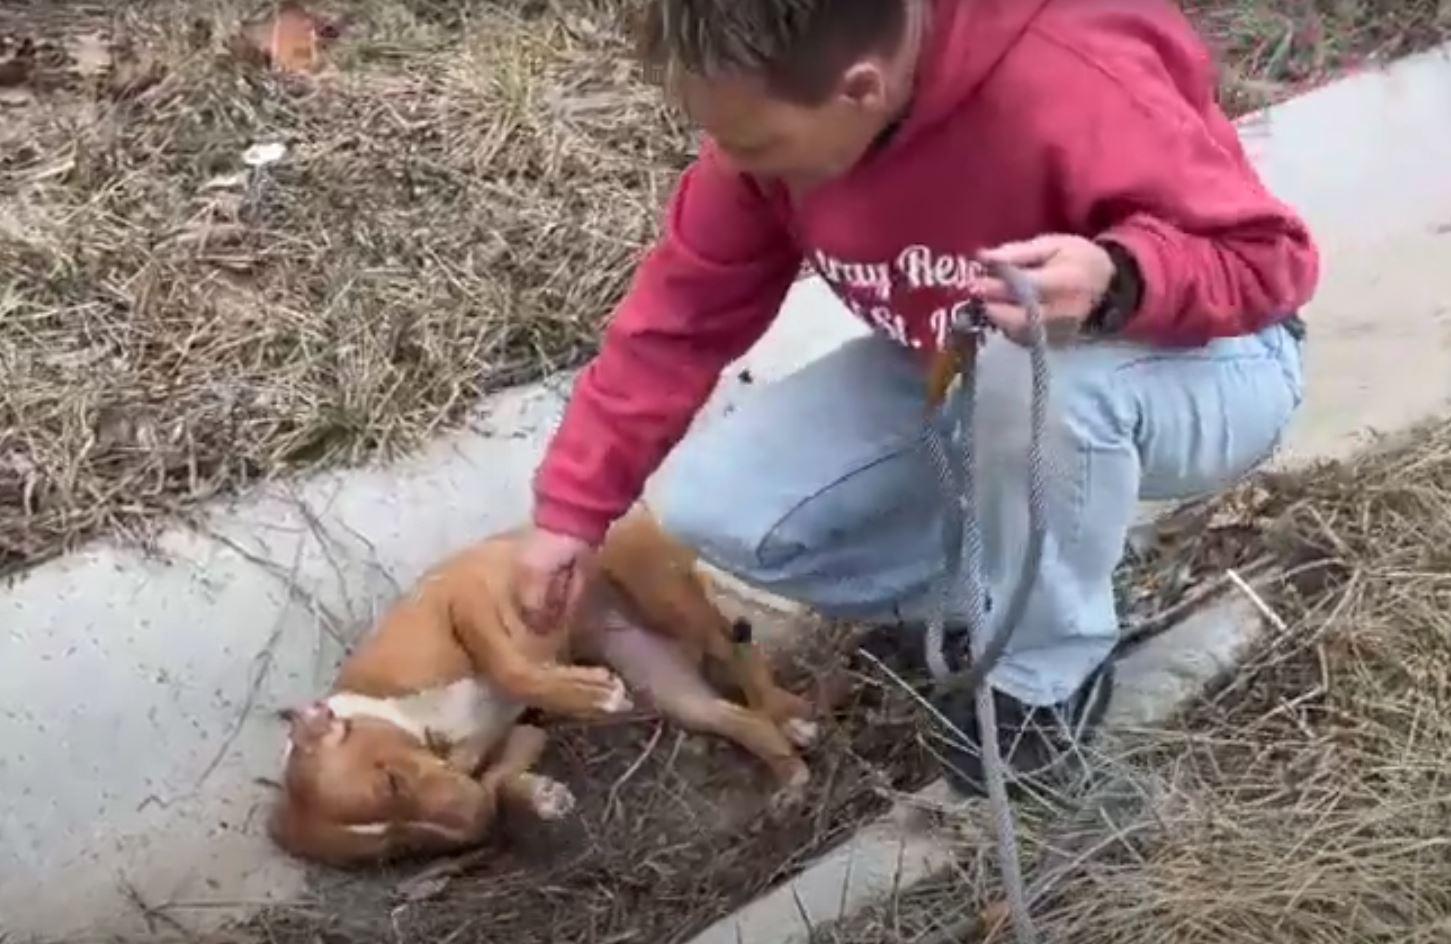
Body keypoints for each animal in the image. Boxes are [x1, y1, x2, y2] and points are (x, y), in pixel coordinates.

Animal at [271, 504, 818, 870]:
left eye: (391, 781)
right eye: (403, 848)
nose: (473, 825)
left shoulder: (465, 600)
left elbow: (510, 668)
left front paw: (590, 693)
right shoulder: (515, 740)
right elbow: (497, 784)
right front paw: (540, 796)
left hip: (662, 593)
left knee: (736, 647)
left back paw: (786, 711)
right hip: (670, 687)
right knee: (741, 719)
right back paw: (790, 776)